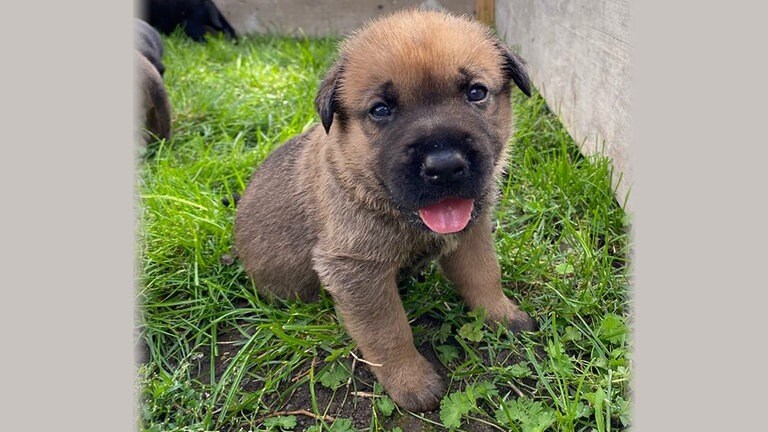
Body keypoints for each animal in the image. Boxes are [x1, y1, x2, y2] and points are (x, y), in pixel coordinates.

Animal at [234, 8, 536, 410]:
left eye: (476, 92)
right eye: (381, 110)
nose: (444, 166)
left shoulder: (472, 233)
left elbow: (485, 275)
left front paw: (502, 315)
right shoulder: (357, 270)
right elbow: (388, 331)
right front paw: (411, 382)